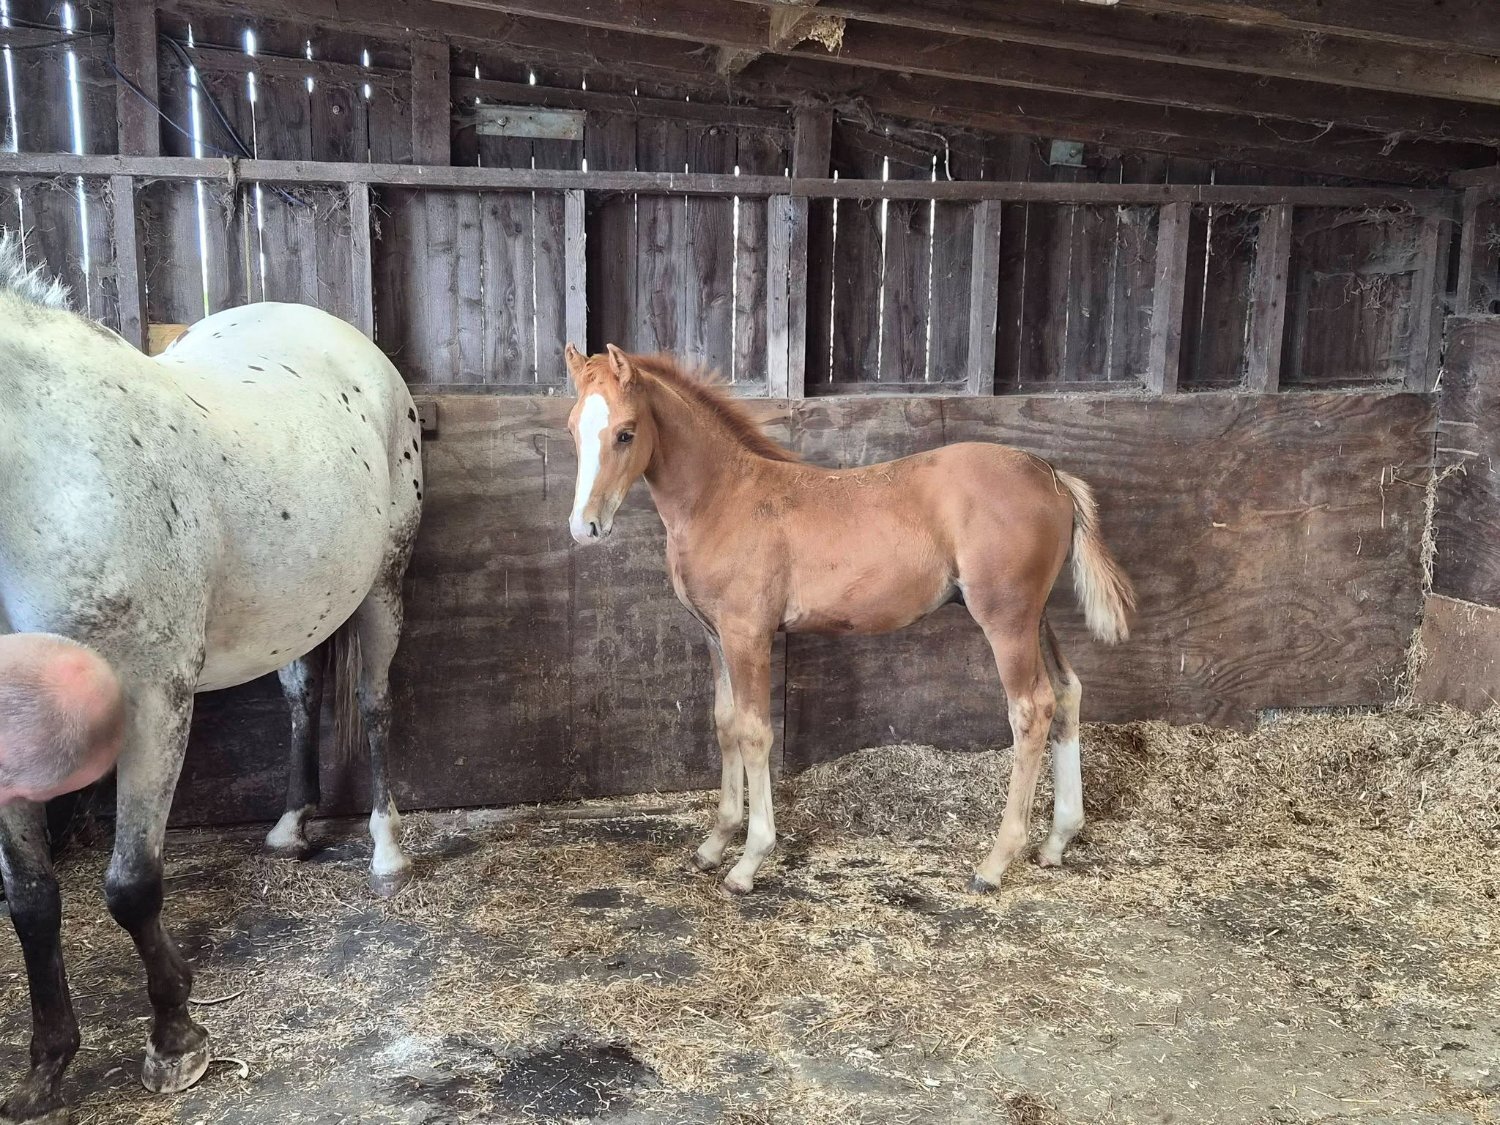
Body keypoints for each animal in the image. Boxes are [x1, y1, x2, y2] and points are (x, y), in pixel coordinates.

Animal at [0, 232, 423, 1122]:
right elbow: (30, 898)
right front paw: (47, 1062)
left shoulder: (152, 701)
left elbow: (131, 884)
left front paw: (176, 1036)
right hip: (304, 603)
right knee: (301, 696)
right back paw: (291, 825)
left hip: (382, 585)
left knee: (373, 704)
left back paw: (385, 849)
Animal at [562, 344, 1134, 897]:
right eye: (572, 428)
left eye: (626, 432)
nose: (584, 527)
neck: (723, 498)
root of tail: (1052, 476)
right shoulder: (714, 635)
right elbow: (724, 724)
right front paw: (713, 844)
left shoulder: (748, 635)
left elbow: (754, 732)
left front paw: (749, 860)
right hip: (1036, 617)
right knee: (1066, 692)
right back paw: (1057, 840)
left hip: (1007, 620)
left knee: (1031, 709)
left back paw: (994, 864)